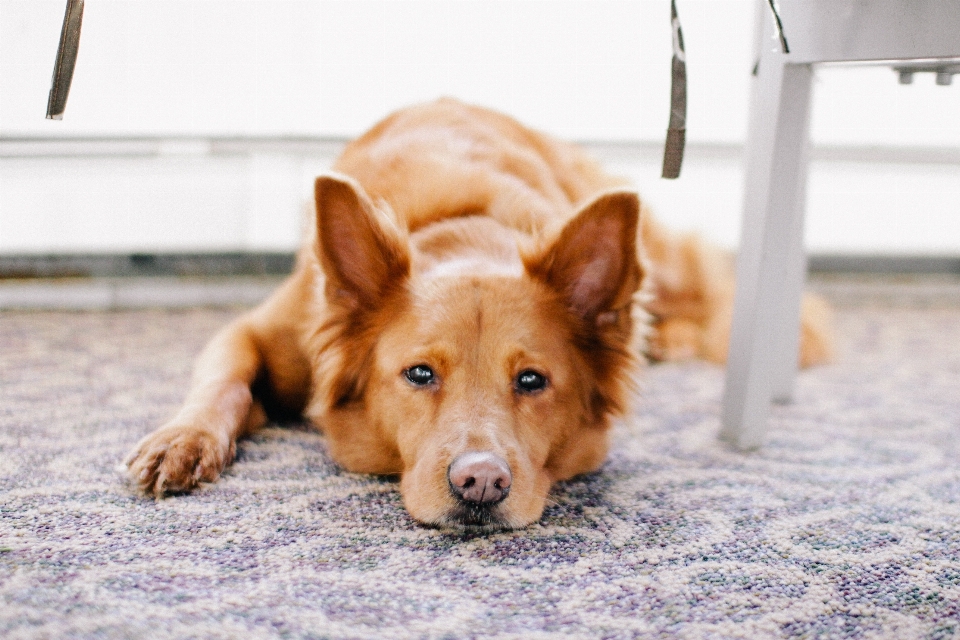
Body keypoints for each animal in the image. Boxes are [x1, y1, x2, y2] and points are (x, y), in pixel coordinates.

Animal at [125, 99, 832, 528]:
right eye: (419, 374)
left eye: (532, 381)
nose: (481, 484)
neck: (464, 231)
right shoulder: (262, 331)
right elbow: (223, 381)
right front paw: (181, 440)